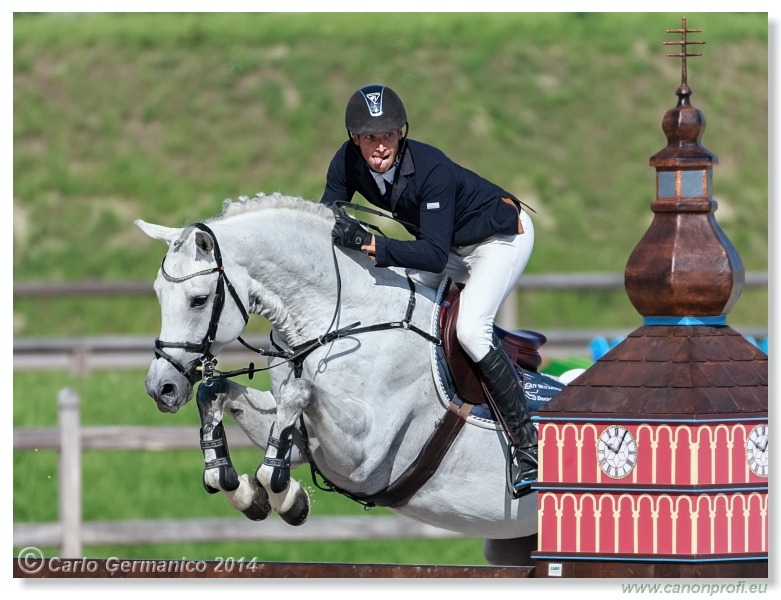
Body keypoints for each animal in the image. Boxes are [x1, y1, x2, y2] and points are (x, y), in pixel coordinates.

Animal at [137, 191, 568, 564]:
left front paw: (284, 494)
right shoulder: (304, 440)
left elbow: (299, 392)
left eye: (198, 300)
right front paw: (240, 488)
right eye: (157, 293)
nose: (162, 388)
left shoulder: (363, 458)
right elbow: (216, 391)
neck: (345, 320)